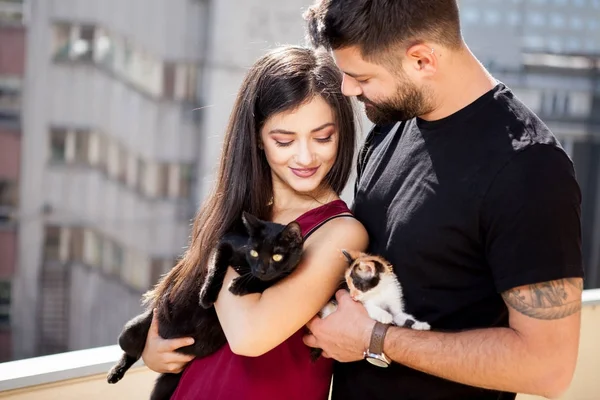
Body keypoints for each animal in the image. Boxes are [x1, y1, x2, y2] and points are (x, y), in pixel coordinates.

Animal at [105, 211, 304, 398]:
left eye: (277, 256)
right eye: (254, 253)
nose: (261, 269)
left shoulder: (282, 274)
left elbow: (266, 281)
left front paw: (240, 285)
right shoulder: (224, 245)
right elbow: (216, 269)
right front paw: (206, 296)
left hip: (167, 383)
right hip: (130, 333)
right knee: (131, 353)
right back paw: (115, 373)